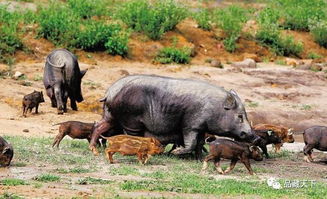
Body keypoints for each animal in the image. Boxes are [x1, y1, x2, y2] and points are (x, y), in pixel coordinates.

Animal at [89, 74, 262, 159]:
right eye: (240, 116)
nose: (256, 137)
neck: (214, 108)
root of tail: (110, 92)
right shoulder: (191, 124)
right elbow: (191, 142)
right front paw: (175, 153)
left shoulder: (202, 128)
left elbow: (199, 143)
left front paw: (199, 159)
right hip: (131, 120)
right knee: (130, 134)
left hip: (110, 114)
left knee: (99, 126)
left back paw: (93, 149)